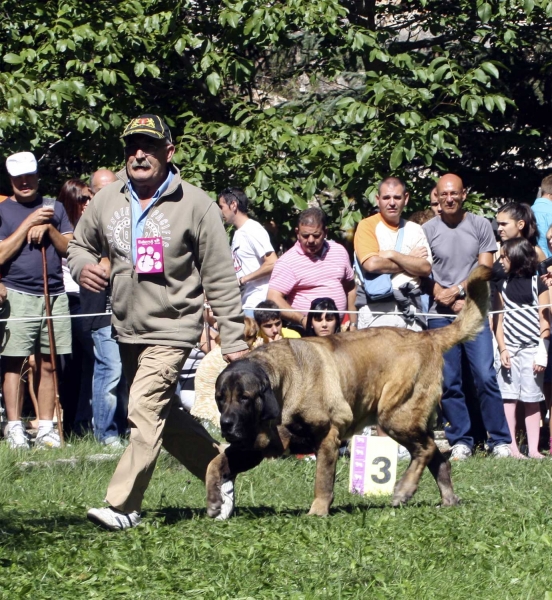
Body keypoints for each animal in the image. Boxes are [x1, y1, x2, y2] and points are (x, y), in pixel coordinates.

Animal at [207, 266, 492, 516]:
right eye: (220, 399)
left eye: (245, 398)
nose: (227, 424)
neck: (282, 386)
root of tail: (427, 337)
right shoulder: (253, 446)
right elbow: (217, 462)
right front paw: (213, 500)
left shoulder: (327, 436)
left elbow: (322, 480)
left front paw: (317, 511)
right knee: (437, 457)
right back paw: (447, 499)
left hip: (395, 415)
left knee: (426, 450)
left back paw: (403, 490)